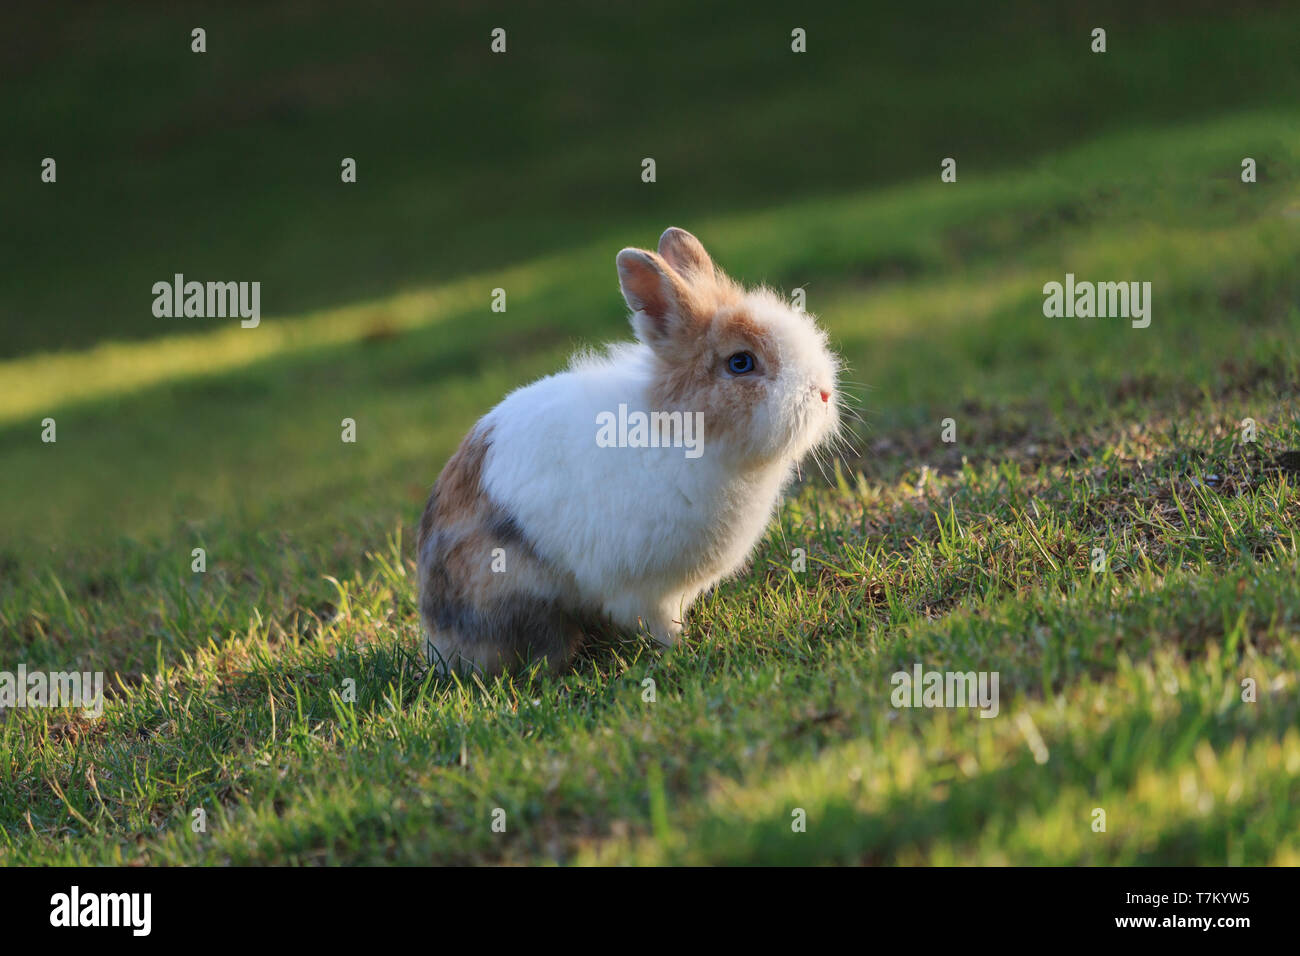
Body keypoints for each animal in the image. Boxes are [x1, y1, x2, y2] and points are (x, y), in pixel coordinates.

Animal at [416, 225, 842, 676]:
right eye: (741, 363)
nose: (824, 393)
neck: (685, 432)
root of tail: (440, 639)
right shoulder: (645, 590)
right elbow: (659, 623)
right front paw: (681, 649)